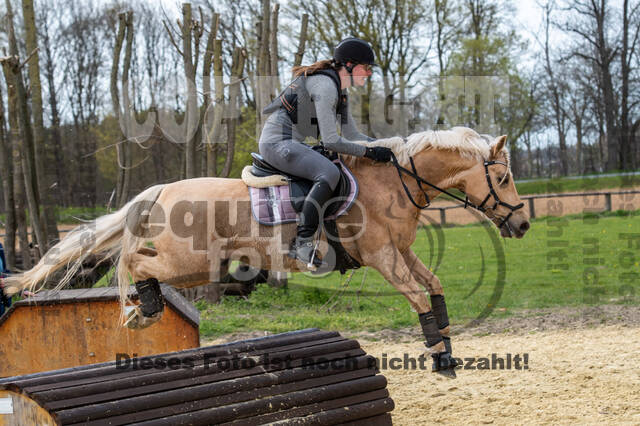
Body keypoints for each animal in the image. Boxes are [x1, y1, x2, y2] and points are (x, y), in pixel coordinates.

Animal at [1, 126, 528, 376]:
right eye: (502, 177)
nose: (522, 224)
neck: (392, 183)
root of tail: (163, 189)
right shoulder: (383, 257)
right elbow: (417, 298)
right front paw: (439, 357)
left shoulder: (401, 251)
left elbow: (433, 288)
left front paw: (448, 345)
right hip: (193, 263)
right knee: (133, 260)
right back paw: (141, 309)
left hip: (194, 264)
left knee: (138, 261)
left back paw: (139, 308)